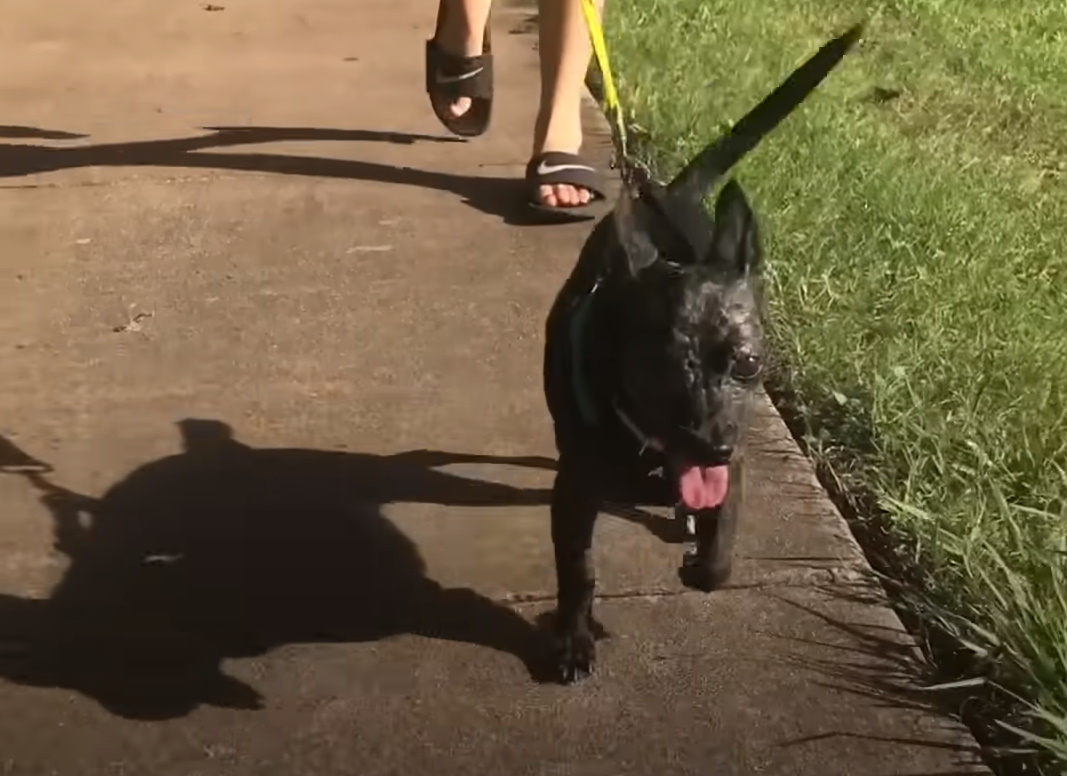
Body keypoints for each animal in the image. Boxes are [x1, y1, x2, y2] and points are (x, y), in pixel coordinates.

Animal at [546, 24, 862, 683]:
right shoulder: (575, 491)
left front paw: (703, 563)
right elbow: (578, 572)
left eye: (748, 363)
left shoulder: (733, 469)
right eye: (659, 368)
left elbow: (723, 550)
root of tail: (668, 195)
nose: (712, 445)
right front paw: (572, 640)